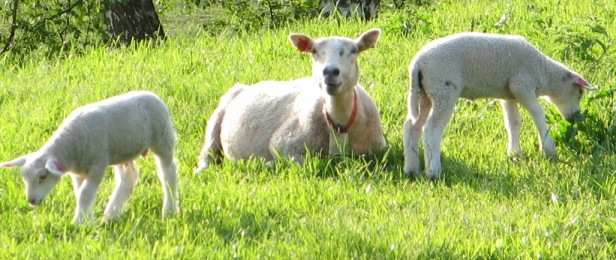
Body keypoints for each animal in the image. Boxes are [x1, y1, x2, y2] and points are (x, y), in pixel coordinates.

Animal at [0, 91, 178, 223]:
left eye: (43, 176)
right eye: (24, 178)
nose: (31, 201)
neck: (69, 147)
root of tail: (153, 95)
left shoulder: (97, 165)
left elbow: (85, 193)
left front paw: (79, 222)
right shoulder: (78, 172)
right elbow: (80, 193)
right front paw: (87, 220)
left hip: (163, 140)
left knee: (168, 173)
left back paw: (169, 210)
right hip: (122, 151)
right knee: (128, 178)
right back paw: (111, 215)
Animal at [194, 28, 384, 173]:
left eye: (354, 50)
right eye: (314, 51)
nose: (330, 71)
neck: (340, 125)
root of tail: (245, 86)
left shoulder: (379, 149)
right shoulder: (282, 143)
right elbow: (307, 163)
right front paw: (265, 164)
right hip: (217, 116)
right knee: (207, 153)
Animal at [402, 32, 596, 179]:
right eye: (580, 93)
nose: (575, 118)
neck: (543, 72)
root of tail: (417, 65)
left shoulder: (509, 95)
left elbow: (513, 123)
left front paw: (515, 154)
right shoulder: (522, 86)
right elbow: (538, 115)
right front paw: (549, 150)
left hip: (424, 94)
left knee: (412, 127)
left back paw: (411, 169)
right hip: (443, 91)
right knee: (431, 131)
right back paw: (433, 172)